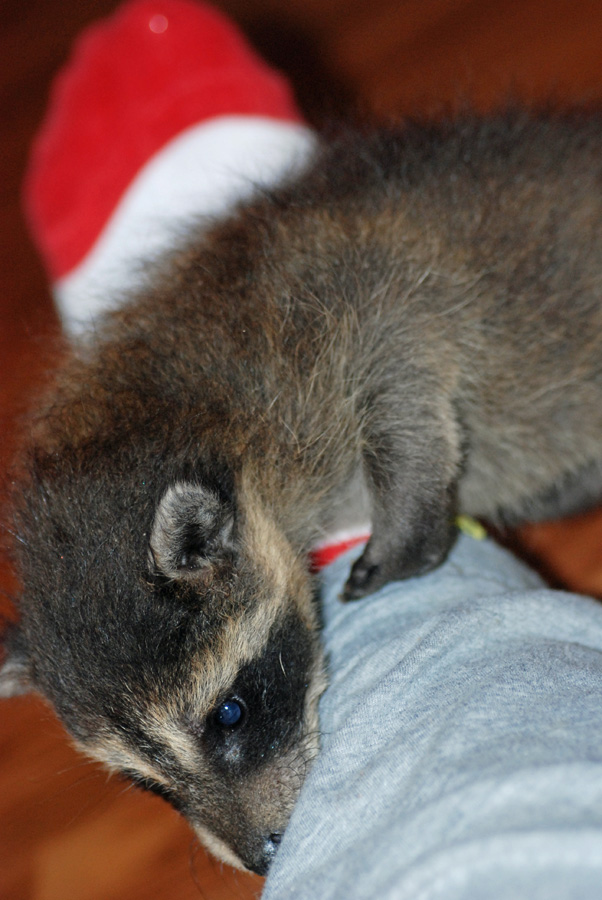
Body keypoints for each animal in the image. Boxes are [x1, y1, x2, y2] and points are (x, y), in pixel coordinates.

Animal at [3, 114, 602, 874]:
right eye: (145, 784)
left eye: (228, 713)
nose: (262, 859)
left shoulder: (361, 300)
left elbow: (406, 387)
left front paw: (408, 530)